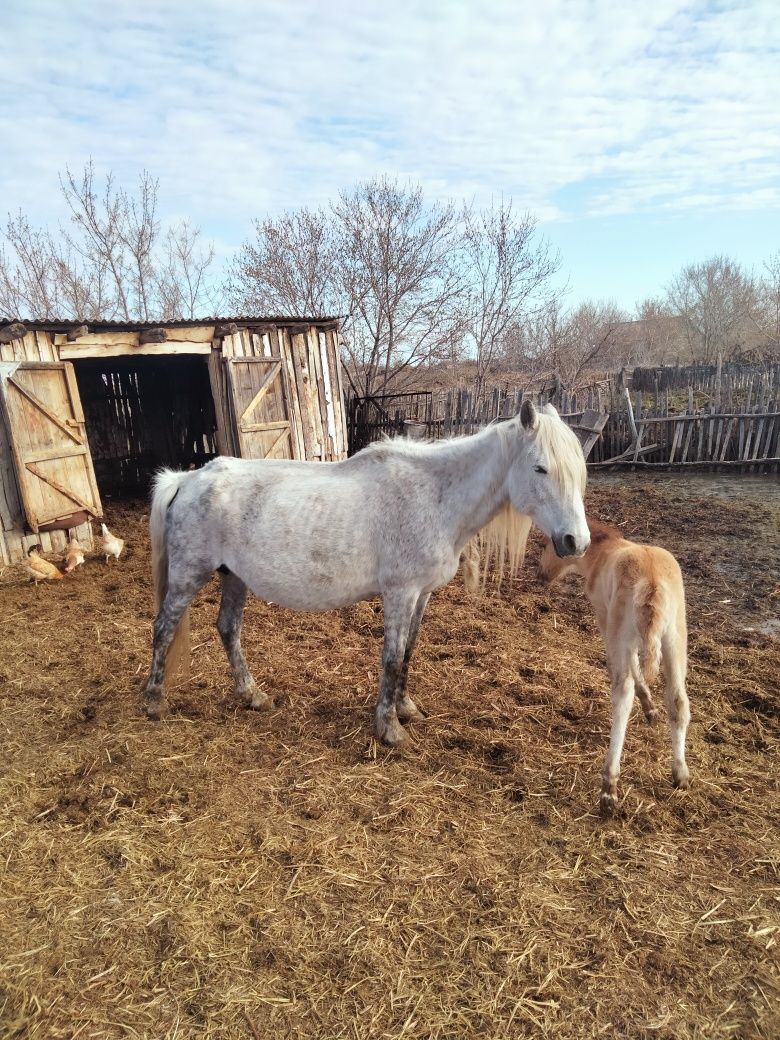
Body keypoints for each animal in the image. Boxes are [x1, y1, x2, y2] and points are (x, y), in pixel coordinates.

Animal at [143, 399, 590, 748]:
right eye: (540, 468)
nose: (576, 542)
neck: (435, 496)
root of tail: (187, 479)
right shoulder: (400, 593)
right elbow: (391, 657)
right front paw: (389, 729)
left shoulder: (421, 594)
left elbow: (409, 650)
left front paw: (405, 708)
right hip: (189, 574)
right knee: (164, 628)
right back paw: (154, 702)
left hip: (233, 576)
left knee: (228, 629)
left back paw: (253, 696)